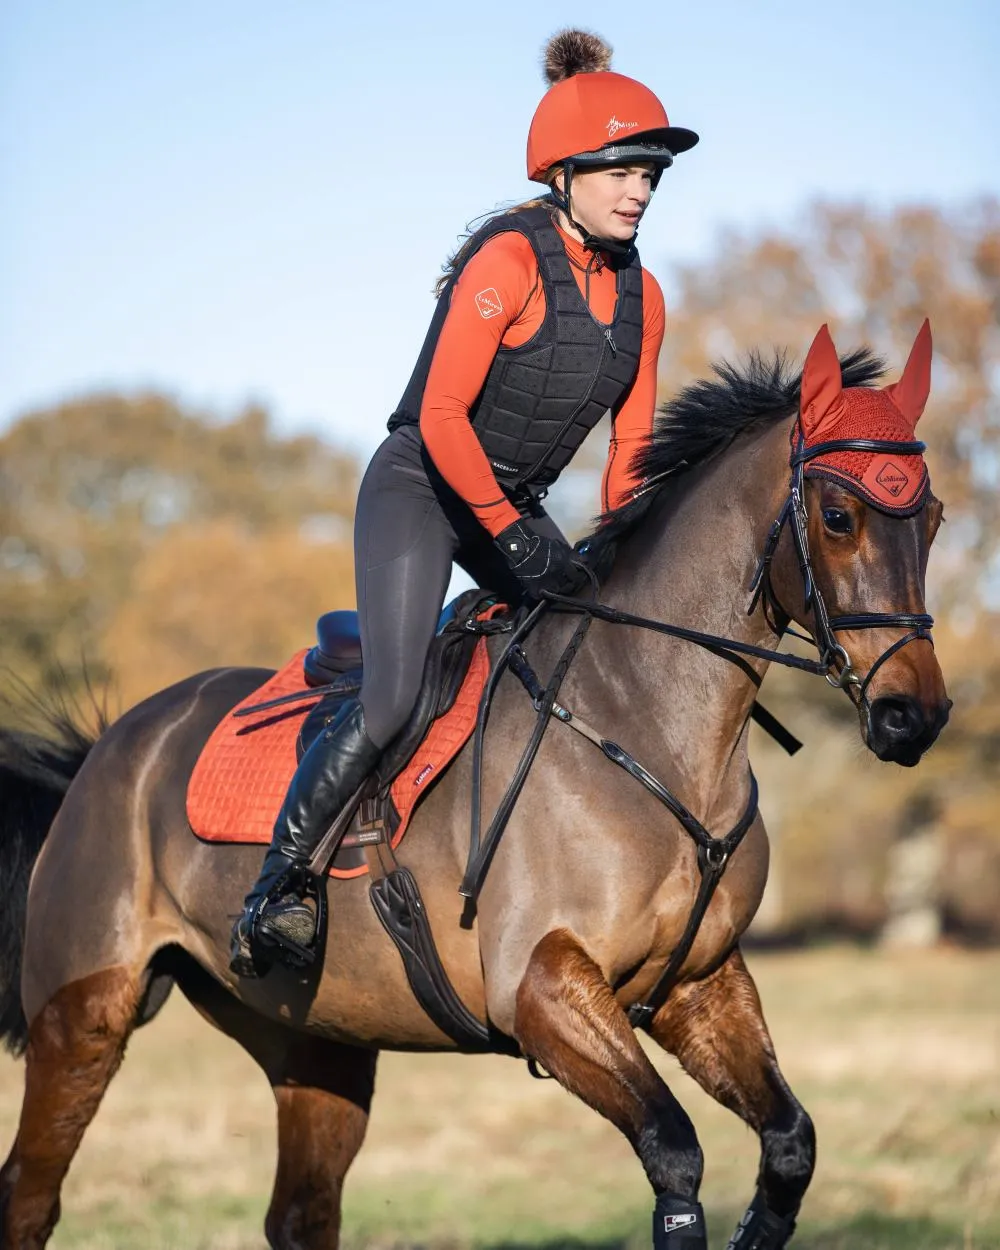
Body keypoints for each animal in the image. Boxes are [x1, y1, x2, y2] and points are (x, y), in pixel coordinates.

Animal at [0, 325, 945, 1250]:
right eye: (838, 516)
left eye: (932, 519)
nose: (915, 716)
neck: (644, 723)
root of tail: (114, 744)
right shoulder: (540, 988)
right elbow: (675, 1154)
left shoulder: (697, 985)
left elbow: (789, 1145)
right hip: (82, 1017)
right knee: (30, 1197)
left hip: (317, 1039)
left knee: (302, 1211)